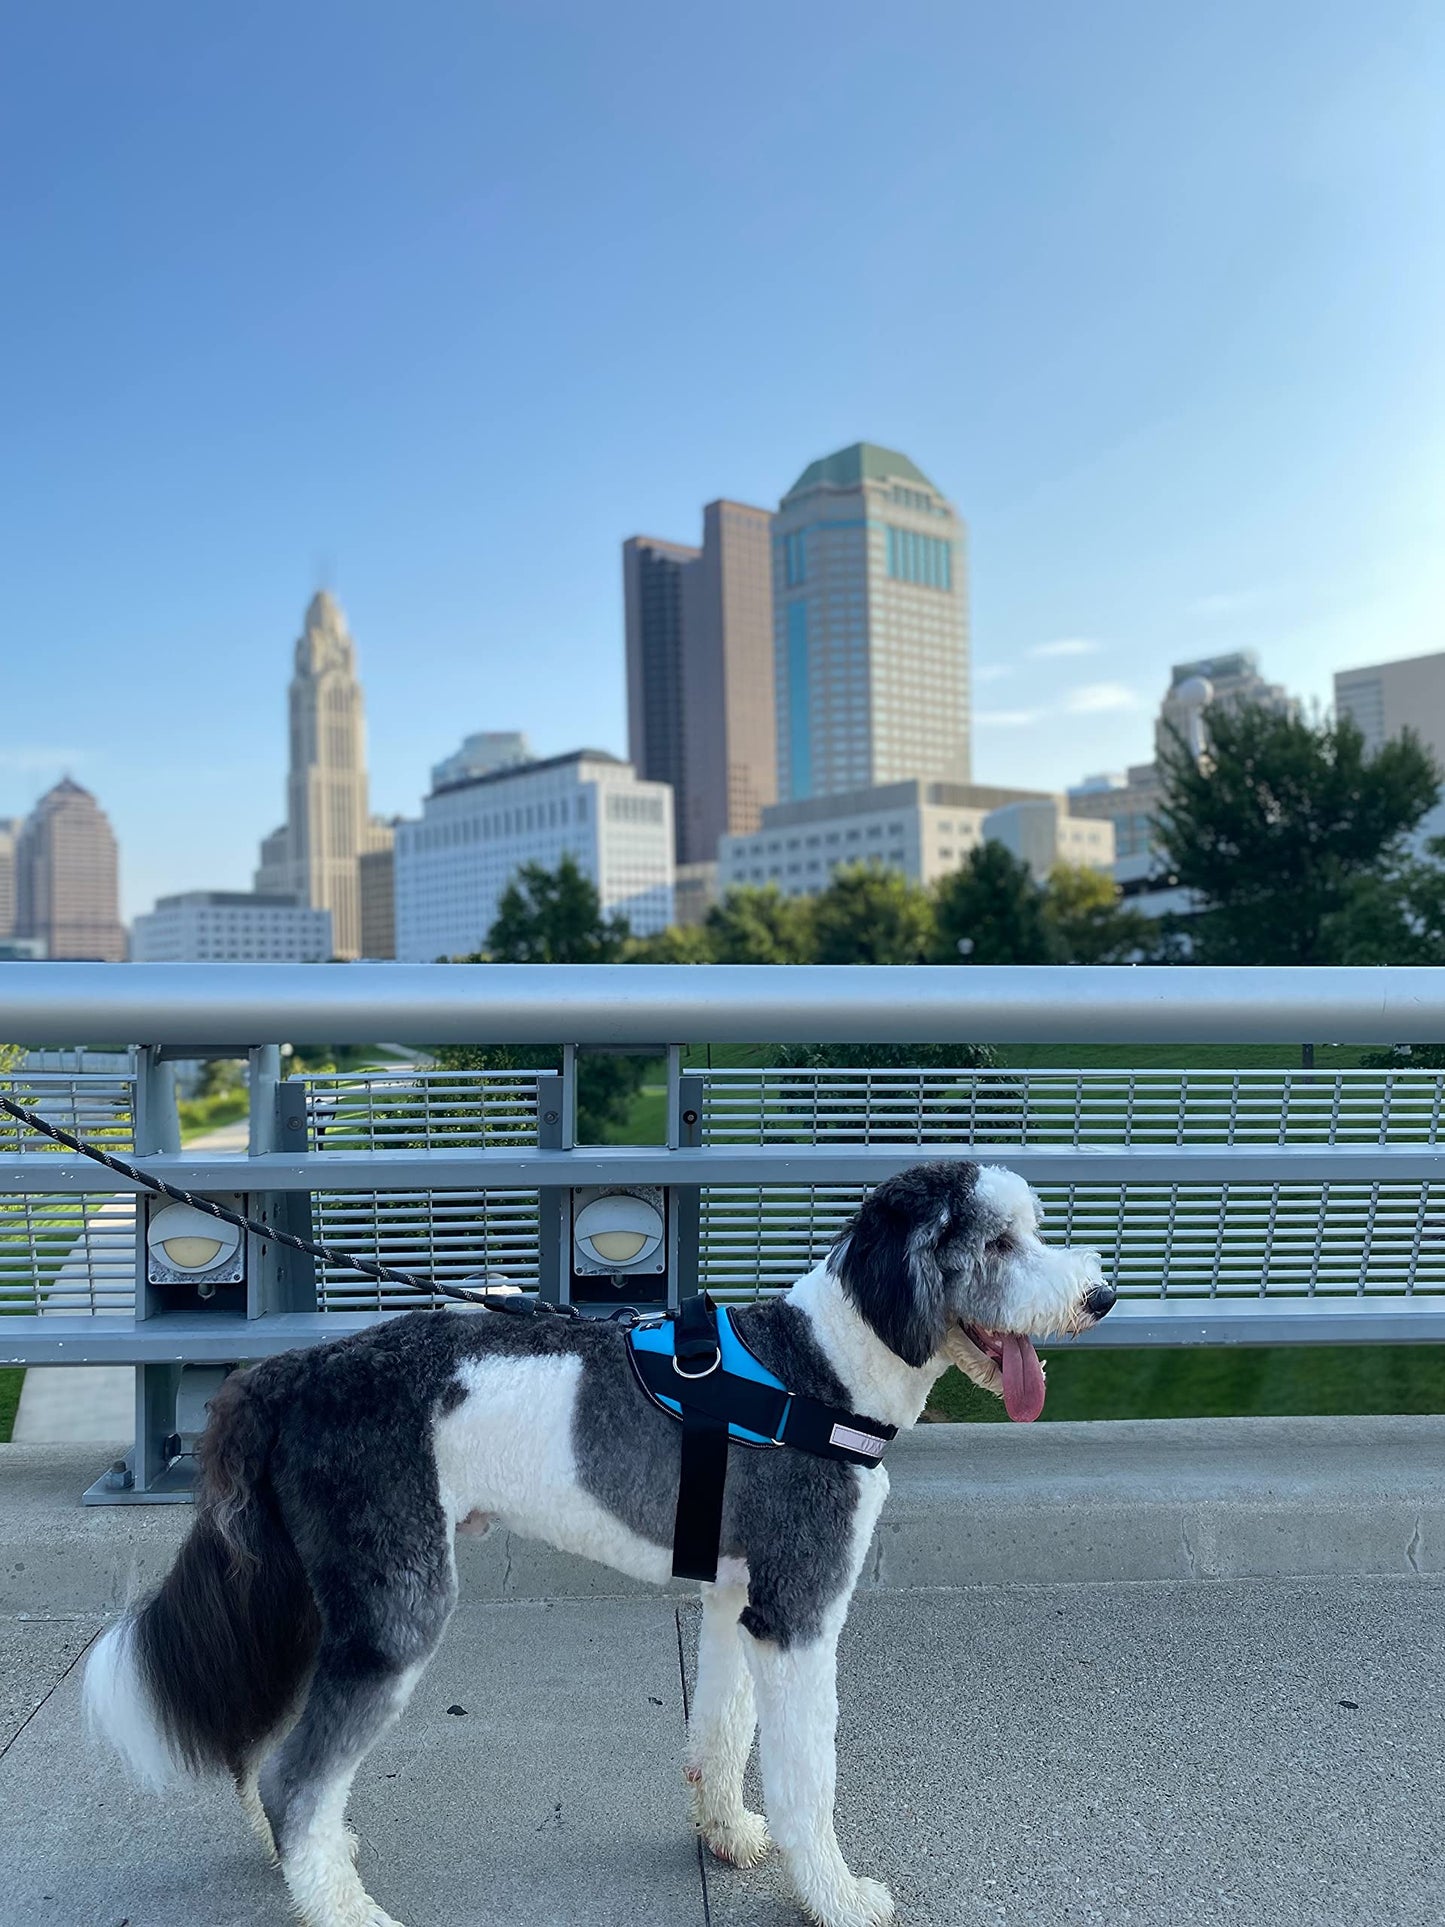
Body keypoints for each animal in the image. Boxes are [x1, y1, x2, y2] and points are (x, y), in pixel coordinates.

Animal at [81, 1156, 1117, 1927]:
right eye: (994, 1241)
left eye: (1027, 1229)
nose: (1101, 1297)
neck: (820, 1369)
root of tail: (291, 1371)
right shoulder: (800, 1611)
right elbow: (806, 1774)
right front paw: (836, 1896)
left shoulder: (737, 1599)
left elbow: (725, 1729)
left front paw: (726, 1832)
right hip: (394, 1607)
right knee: (298, 1775)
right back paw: (341, 1905)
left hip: (324, 1598)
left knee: (271, 1759)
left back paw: (313, 1863)